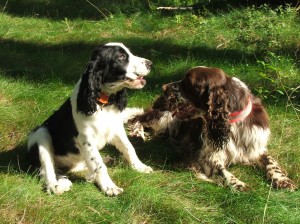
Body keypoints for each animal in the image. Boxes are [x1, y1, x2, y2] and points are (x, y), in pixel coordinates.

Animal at [27, 43, 152, 195]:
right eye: (121, 57)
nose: (150, 64)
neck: (103, 102)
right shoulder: (86, 139)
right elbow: (98, 165)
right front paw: (109, 187)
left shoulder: (116, 128)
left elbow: (128, 147)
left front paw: (140, 167)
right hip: (41, 134)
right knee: (48, 174)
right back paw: (57, 185)